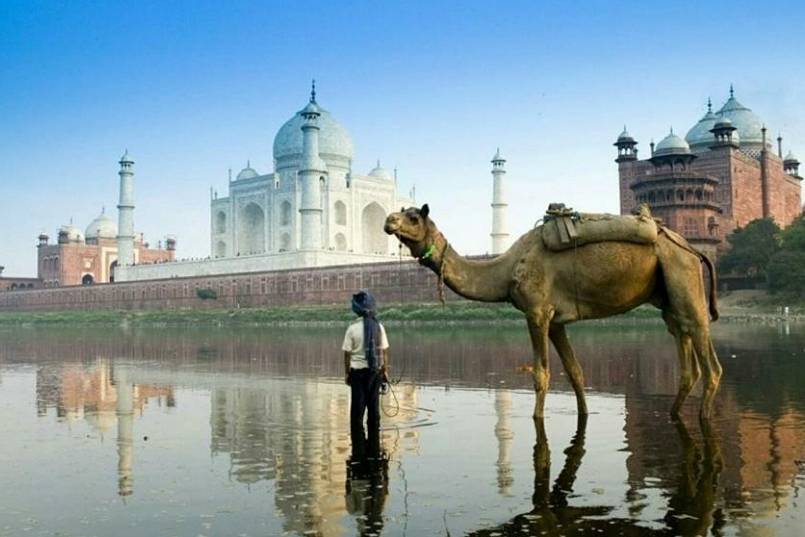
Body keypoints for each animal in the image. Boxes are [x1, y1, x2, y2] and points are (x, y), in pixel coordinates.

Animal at [384, 204, 724, 418]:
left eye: (413, 217)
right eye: (401, 212)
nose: (388, 221)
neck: (507, 269)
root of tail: (692, 248)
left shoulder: (536, 312)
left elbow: (541, 374)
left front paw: (537, 419)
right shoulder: (556, 321)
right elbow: (575, 371)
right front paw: (584, 412)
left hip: (683, 275)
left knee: (709, 360)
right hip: (668, 297)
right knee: (684, 352)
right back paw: (674, 414)